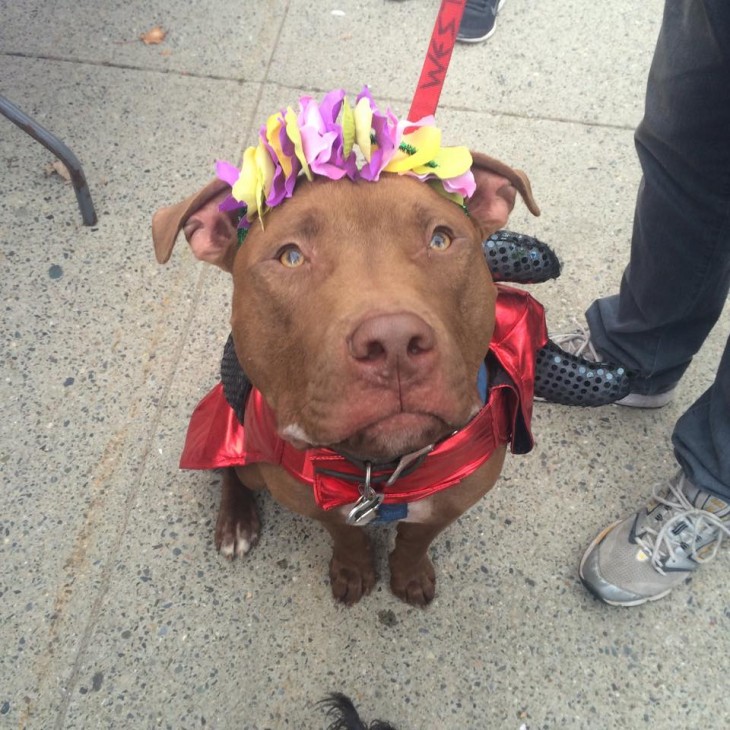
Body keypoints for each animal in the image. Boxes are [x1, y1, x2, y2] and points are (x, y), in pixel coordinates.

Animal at [151, 89, 544, 604]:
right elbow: (345, 534)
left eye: (440, 239)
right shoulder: (311, 498)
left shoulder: (451, 501)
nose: (394, 343)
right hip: (251, 456)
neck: (381, 477)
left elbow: (416, 538)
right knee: (233, 470)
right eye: (291, 256)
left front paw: (409, 574)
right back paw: (235, 522)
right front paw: (353, 570)